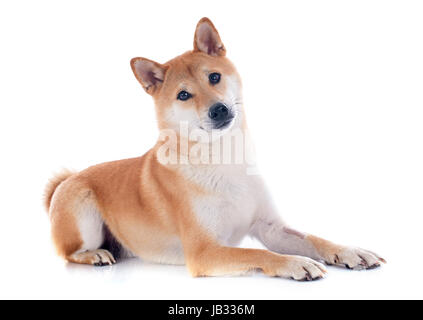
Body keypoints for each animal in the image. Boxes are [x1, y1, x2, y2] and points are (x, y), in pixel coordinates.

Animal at [44, 17, 386, 280]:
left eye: (215, 77)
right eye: (183, 95)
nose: (218, 110)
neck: (223, 158)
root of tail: (69, 179)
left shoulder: (271, 228)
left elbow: (314, 238)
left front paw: (349, 251)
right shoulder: (205, 250)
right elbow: (256, 253)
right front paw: (295, 263)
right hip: (82, 210)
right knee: (69, 252)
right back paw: (94, 255)